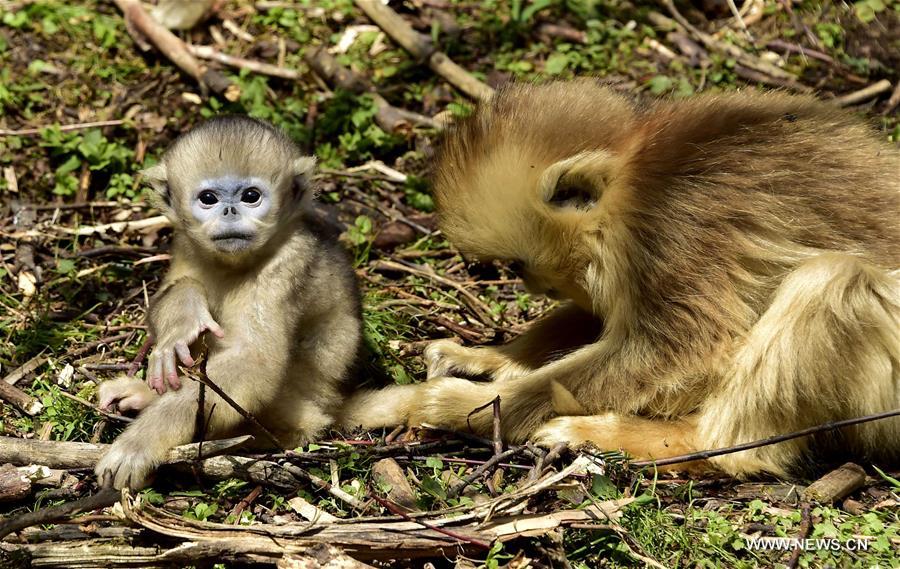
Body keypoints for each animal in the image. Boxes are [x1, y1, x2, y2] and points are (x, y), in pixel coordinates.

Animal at [96, 116, 364, 488]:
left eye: (251, 196)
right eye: (208, 198)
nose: (229, 210)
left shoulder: (288, 263)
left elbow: (254, 360)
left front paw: (139, 444)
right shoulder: (185, 244)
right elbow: (173, 293)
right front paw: (182, 318)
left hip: (299, 406)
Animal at [352, 80, 900, 478]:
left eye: (519, 266)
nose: (535, 288)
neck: (633, 176)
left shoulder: (672, 224)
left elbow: (677, 349)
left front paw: (452, 404)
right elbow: (599, 318)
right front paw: (491, 359)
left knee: (833, 279)